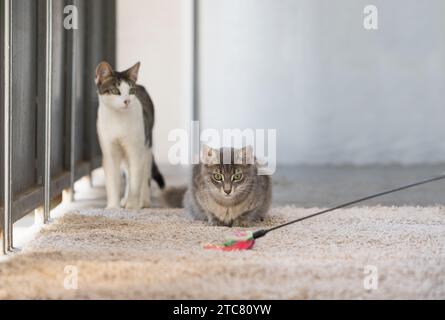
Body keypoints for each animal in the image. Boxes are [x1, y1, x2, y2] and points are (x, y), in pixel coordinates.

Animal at [94, 61, 164, 209]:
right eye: (115, 91)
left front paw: (132, 206)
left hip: (147, 145)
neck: (118, 120)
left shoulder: (136, 151)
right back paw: (125, 199)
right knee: (127, 172)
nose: (127, 101)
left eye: (131, 91)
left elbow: (135, 181)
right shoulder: (109, 152)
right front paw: (113, 207)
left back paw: (144, 200)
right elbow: (113, 181)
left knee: (145, 174)